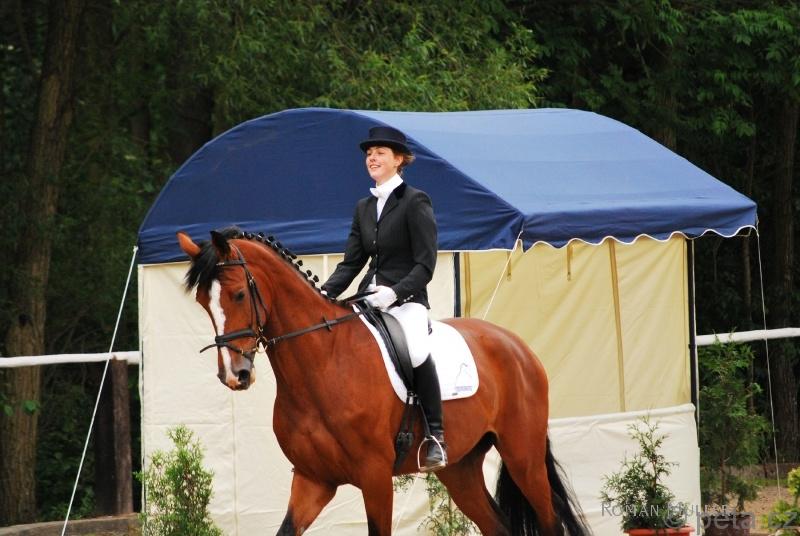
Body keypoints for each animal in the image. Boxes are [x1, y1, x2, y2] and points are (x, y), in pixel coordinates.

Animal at [177, 227, 590, 536]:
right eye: (203, 302)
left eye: (238, 294)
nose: (235, 375)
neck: (323, 365)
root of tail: (519, 347)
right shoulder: (313, 480)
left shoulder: (374, 477)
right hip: (460, 470)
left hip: (523, 457)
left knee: (549, 523)